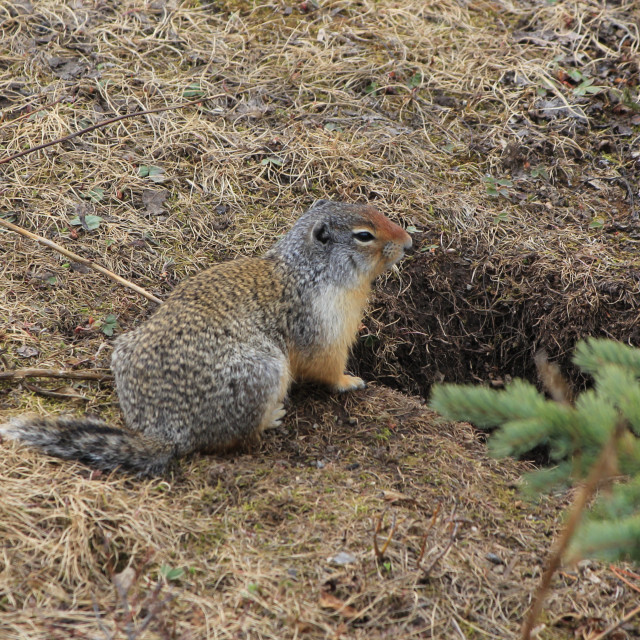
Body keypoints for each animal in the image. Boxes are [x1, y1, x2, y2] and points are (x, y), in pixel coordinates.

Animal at [0, 200, 412, 476]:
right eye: (364, 235)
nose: (408, 241)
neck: (310, 269)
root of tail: (165, 430)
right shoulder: (325, 326)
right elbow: (325, 367)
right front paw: (351, 381)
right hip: (264, 370)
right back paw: (272, 417)